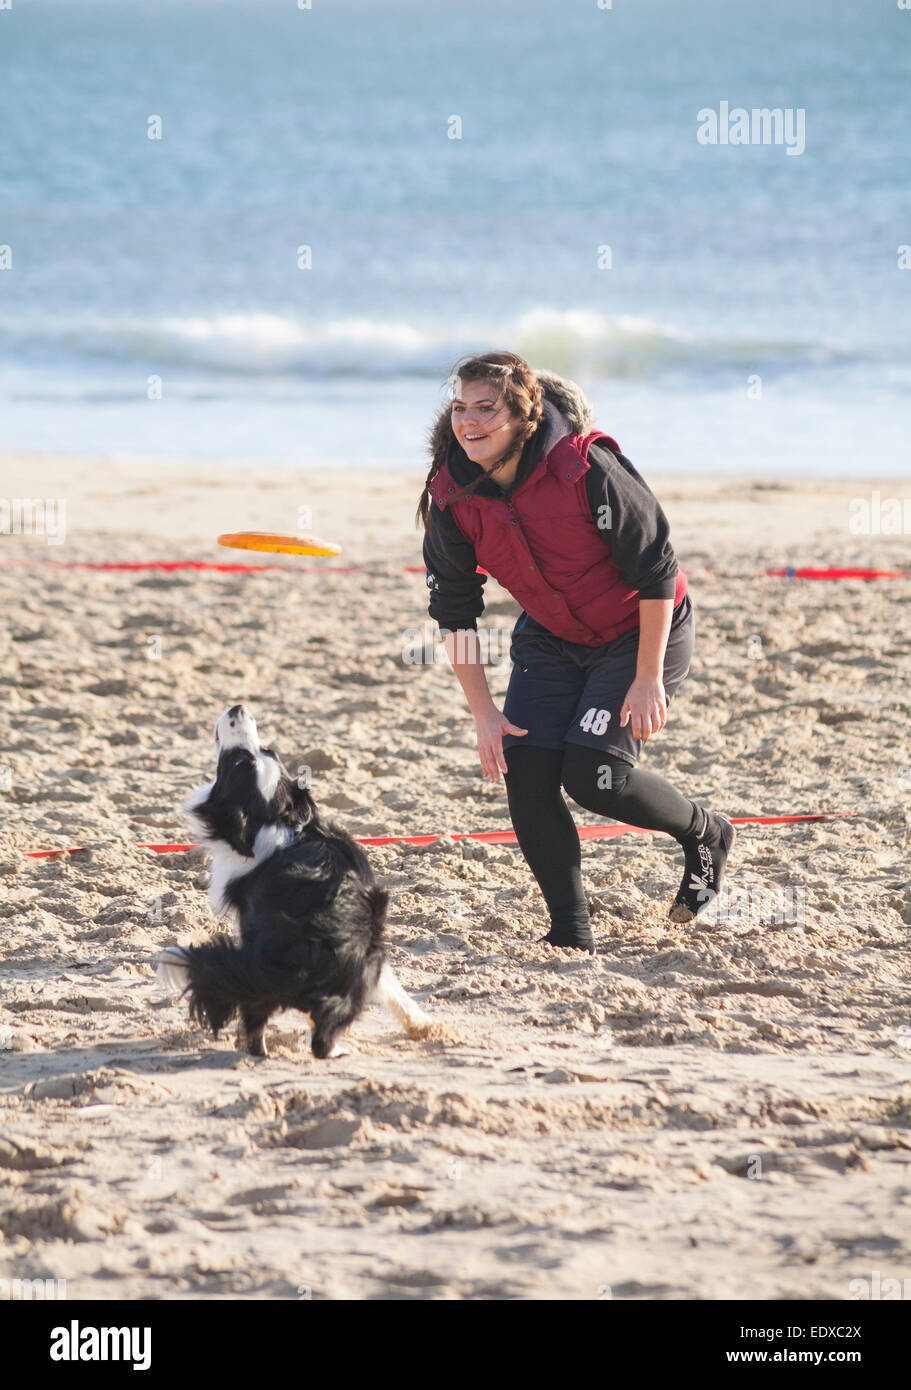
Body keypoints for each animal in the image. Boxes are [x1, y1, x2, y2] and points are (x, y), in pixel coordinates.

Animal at [155, 700, 436, 1056]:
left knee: (292, 1032)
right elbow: (391, 984)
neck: (274, 822)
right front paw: (423, 1025)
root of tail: (308, 950)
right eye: (266, 752)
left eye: (241, 761)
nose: (239, 708)